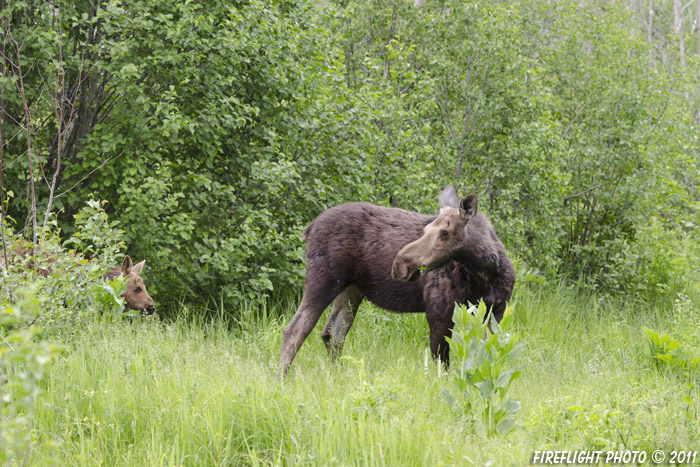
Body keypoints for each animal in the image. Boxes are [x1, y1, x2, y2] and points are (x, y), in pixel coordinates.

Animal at [278, 186, 516, 376]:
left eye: (445, 232)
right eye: (426, 229)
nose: (400, 263)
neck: (485, 273)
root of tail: (309, 228)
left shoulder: (496, 310)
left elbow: (485, 354)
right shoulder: (438, 311)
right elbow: (442, 365)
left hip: (351, 289)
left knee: (333, 333)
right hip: (324, 279)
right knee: (295, 329)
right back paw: (280, 380)